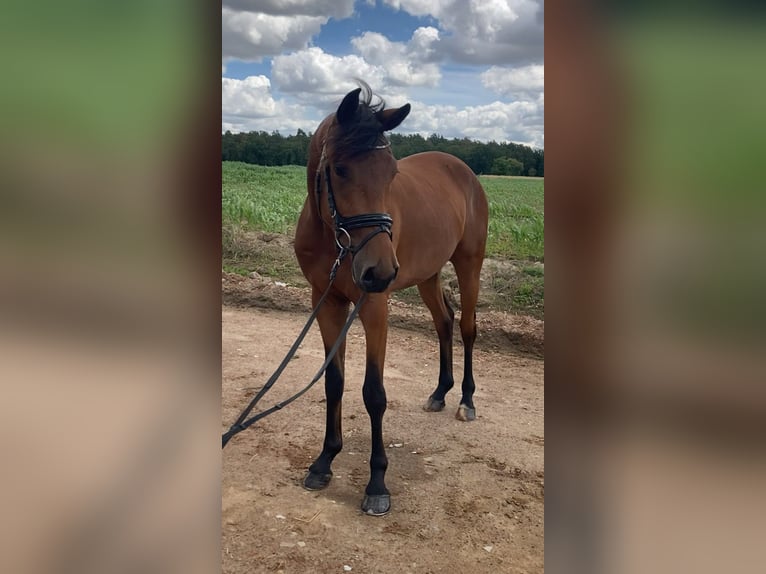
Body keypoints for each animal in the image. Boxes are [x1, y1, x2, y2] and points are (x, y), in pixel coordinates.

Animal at [296, 82, 488, 516]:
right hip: (428, 275)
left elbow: (374, 393)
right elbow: (335, 381)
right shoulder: (327, 302)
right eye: (340, 169)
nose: (379, 271)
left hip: (469, 265)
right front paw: (324, 461)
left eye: (391, 173)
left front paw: (377, 483)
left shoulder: (373, 306)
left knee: (467, 328)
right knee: (444, 321)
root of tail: (464, 170)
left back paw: (466, 400)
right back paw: (440, 392)